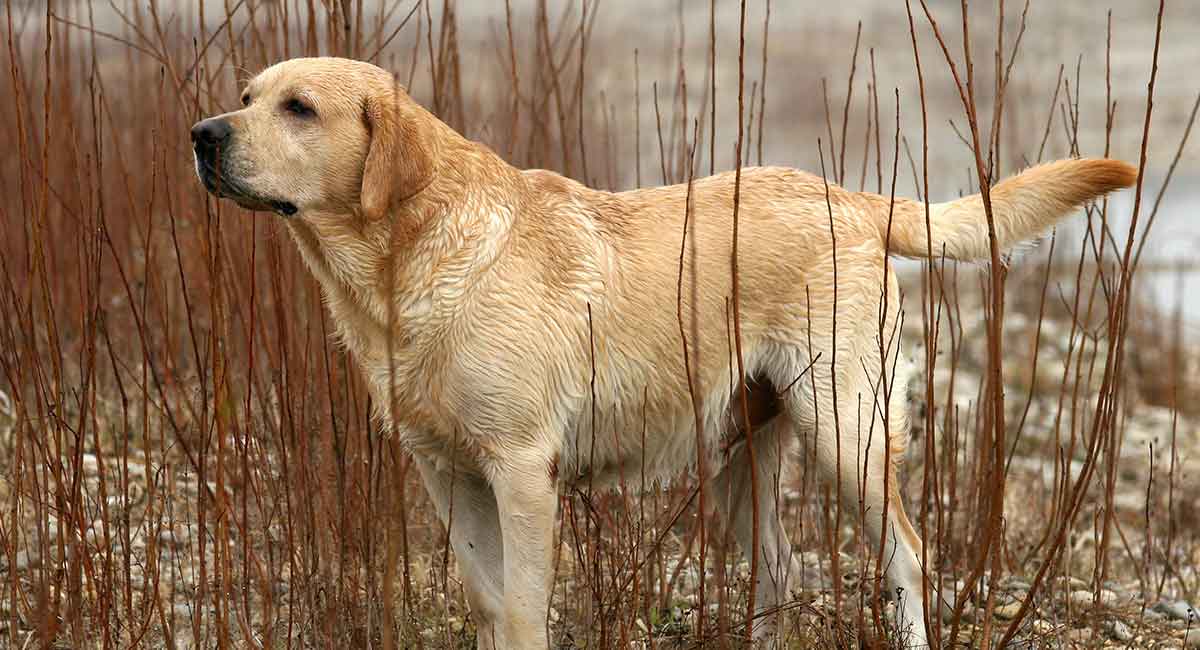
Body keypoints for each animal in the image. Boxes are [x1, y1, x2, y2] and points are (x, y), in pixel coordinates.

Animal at [192, 58, 1137, 647]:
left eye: (298, 107)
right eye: (246, 94)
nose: (203, 134)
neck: (408, 262)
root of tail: (854, 197)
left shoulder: (521, 469)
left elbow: (525, 612)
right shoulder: (445, 471)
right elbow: (488, 605)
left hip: (848, 433)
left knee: (905, 553)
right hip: (746, 450)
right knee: (781, 568)